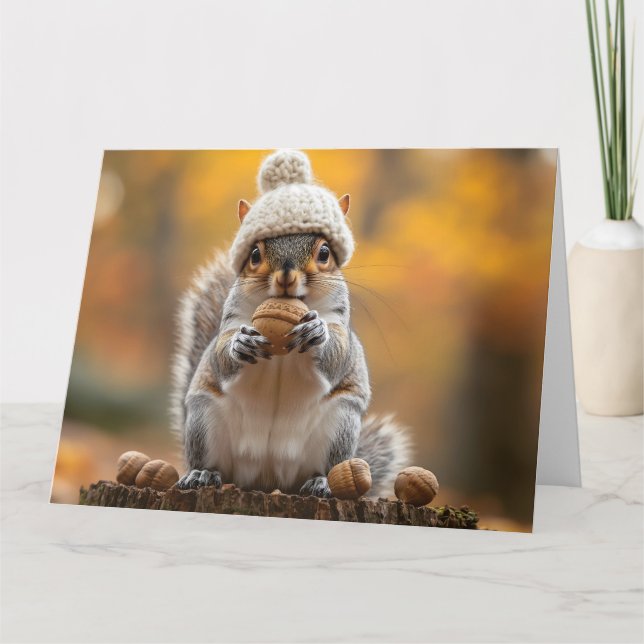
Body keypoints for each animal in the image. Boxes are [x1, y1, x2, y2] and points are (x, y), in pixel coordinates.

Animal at [171, 150, 410, 497]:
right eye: (255, 254)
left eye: (324, 252)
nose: (285, 275)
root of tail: (266, 478)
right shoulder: (232, 320)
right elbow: (220, 353)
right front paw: (240, 344)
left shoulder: (339, 322)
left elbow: (337, 354)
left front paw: (316, 333)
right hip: (204, 420)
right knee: (212, 464)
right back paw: (202, 474)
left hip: (339, 426)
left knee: (324, 468)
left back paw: (320, 482)